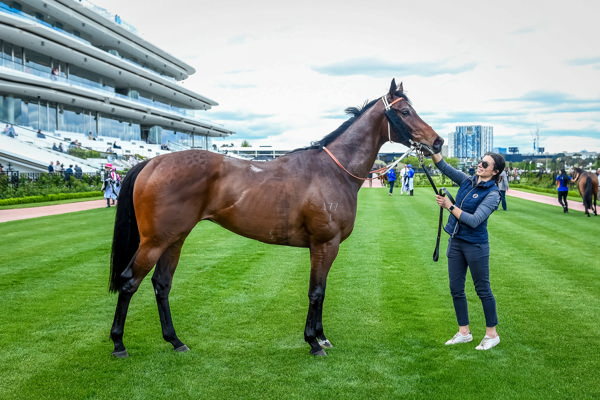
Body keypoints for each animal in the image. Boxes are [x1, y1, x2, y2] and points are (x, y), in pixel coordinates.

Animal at [110, 79, 442, 356]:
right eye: (405, 111)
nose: (437, 142)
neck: (333, 171)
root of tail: (152, 162)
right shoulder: (325, 243)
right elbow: (316, 292)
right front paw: (313, 342)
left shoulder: (325, 247)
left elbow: (321, 291)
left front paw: (321, 337)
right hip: (154, 241)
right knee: (129, 282)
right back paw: (118, 343)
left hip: (175, 239)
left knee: (161, 284)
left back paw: (175, 340)